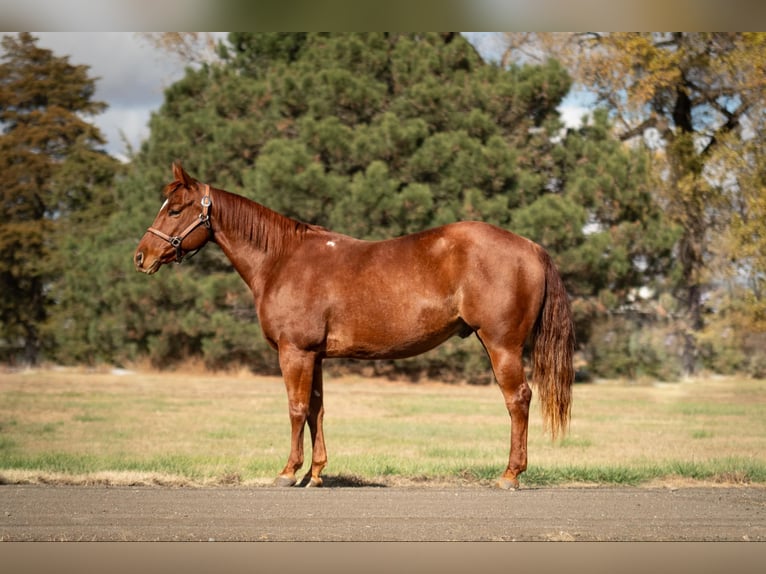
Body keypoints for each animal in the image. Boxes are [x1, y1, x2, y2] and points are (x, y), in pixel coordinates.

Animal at [135, 162, 572, 490]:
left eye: (175, 209)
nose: (141, 256)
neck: (283, 259)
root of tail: (530, 246)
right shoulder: (314, 355)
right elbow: (316, 408)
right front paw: (315, 474)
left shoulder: (295, 351)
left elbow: (295, 408)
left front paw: (287, 472)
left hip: (502, 345)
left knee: (518, 399)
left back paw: (510, 475)